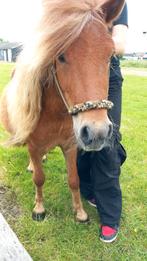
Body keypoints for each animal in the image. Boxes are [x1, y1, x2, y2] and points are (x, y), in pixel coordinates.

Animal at [0, 0, 125, 221]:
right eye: (60, 56)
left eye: (110, 55)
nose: (97, 132)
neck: (54, 115)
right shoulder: (34, 145)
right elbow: (39, 178)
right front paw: (39, 208)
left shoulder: (70, 146)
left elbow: (74, 179)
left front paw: (80, 212)